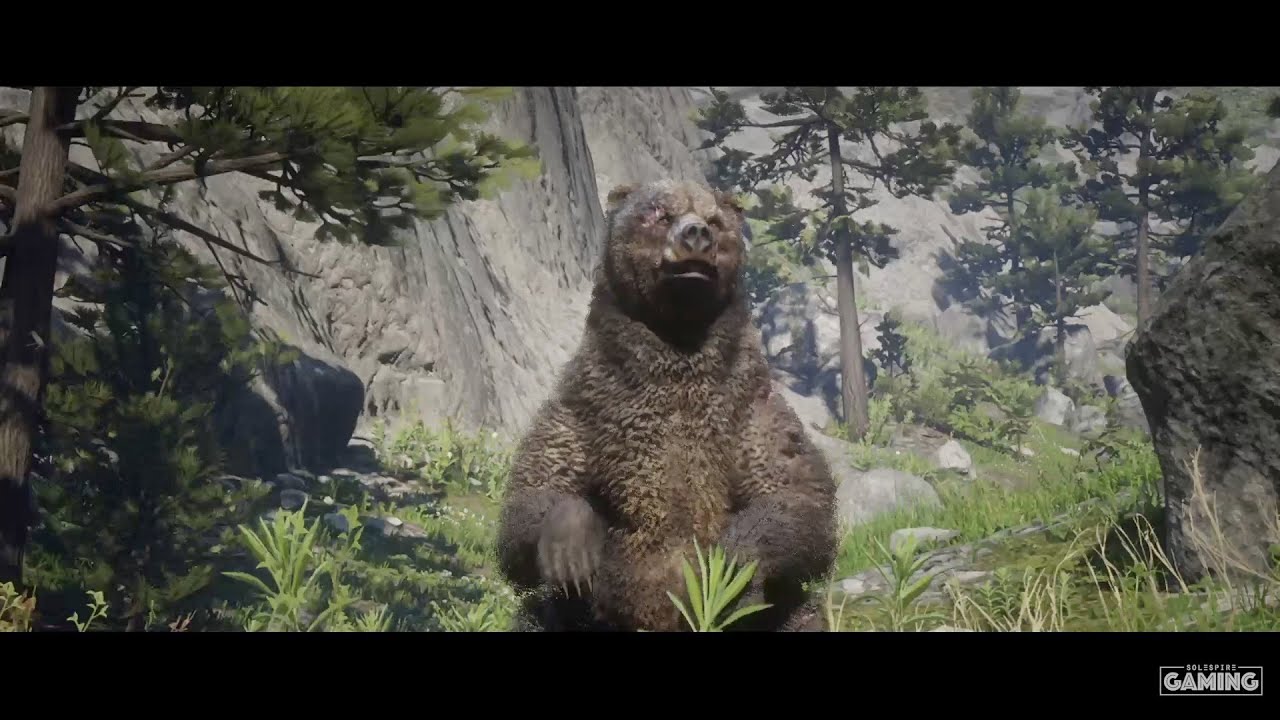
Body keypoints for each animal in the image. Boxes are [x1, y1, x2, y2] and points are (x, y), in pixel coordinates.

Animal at [494, 178, 838, 632]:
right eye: (659, 213)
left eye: (715, 219)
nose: (696, 234)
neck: (677, 349)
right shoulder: (586, 406)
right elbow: (533, 494)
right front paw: (572, 549)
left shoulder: (749, 411)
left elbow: (796, 499)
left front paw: (729, 569)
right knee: (538, 614)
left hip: (779, 614)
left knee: (803, 614)